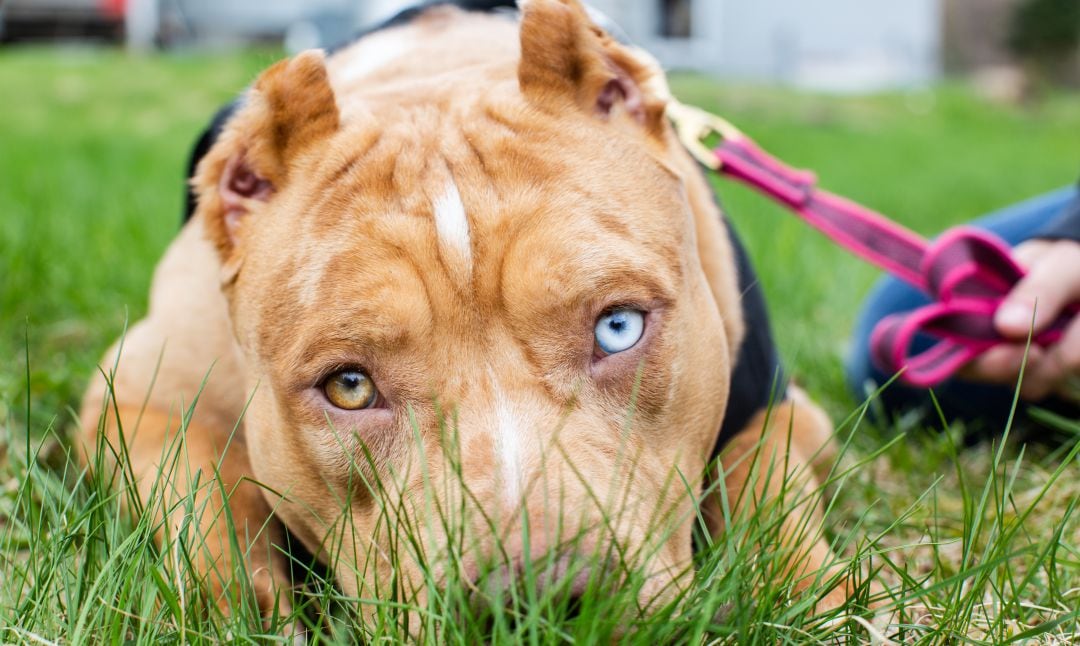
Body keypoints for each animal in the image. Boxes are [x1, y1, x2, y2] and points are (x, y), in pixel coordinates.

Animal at [78, 0, 851, 626]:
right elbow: (202, 495)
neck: (432, 73)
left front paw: (830, 602)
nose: (535, 603)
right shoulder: (140, 394)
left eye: (618, 327)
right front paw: (241, 608)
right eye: (349, 386)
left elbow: (767, 487)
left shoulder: (781, 408)